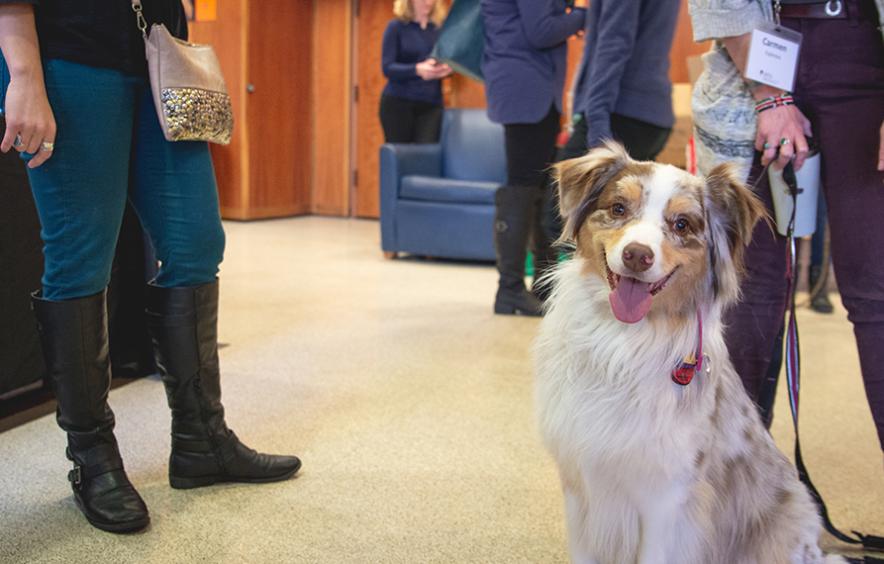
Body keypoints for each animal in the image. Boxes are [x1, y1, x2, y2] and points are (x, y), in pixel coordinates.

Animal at [532, 142, 844, 564]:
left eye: (681, 224)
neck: (622, 340)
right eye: (618, 208)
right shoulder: (580, 486)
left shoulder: (667, 499)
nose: (637, 255)